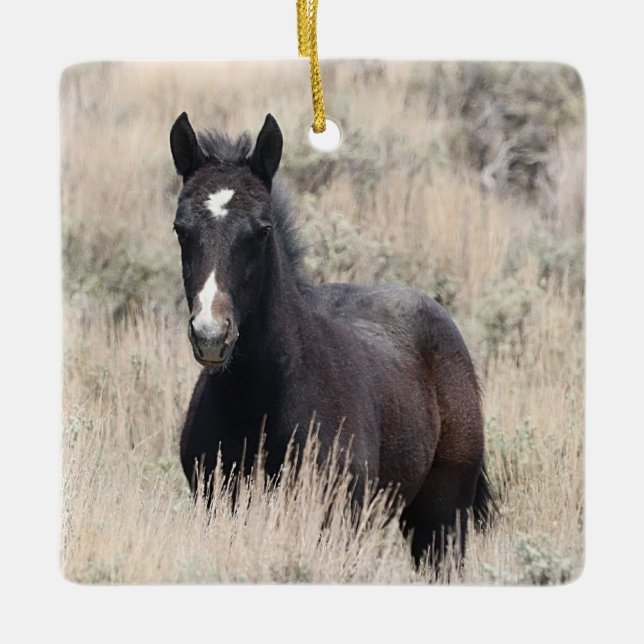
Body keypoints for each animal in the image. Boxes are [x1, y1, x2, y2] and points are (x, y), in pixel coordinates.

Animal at [169, 112, 495, 567]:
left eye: (262, 230)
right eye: (181, 229)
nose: (211, 335)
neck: (257, 404)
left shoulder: (337, 521)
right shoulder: (217, 506)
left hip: (441, 521)